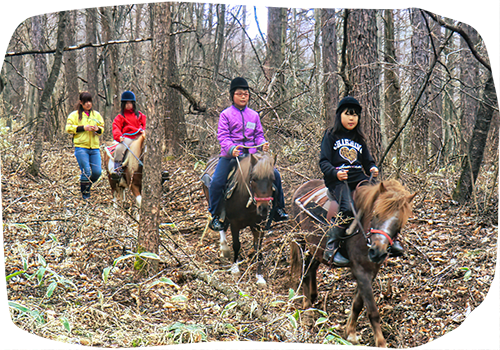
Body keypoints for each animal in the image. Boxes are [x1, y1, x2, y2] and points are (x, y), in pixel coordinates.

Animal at [201, 153, 276, 288]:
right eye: (253, 179)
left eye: (272, 180)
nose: (263, 208)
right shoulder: (235, 224)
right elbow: (236, 244)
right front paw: (235, 269)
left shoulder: (259, 226)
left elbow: (258, 248)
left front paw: (260, 276)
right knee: (221, 226)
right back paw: (224, 249)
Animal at [290, 179, 414, 348]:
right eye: (376, 214)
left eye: (399, 223)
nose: (377, 252)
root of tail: (301, 189)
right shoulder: (361, 270)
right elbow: (372, 310)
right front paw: (381, 344)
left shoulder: (370, 270)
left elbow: (358, 304)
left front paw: (350, 333)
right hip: (301, 241)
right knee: (305, 271)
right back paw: (307, 310)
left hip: (315, 247)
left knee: (312, 268)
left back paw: (313, 297)